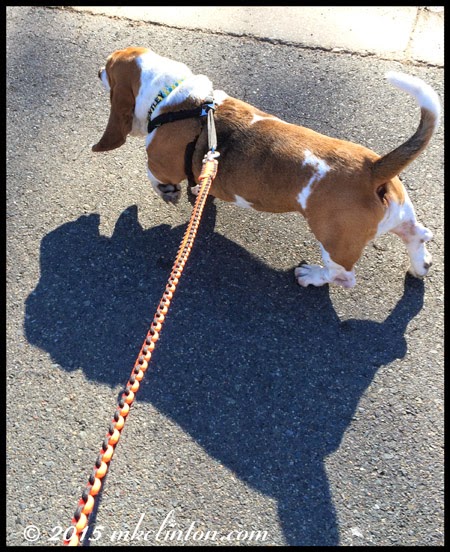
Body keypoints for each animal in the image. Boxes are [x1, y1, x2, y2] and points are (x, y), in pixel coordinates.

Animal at [93, 47, 440, 289]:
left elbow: (153, 175)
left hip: (334, 242)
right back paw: (420, 266)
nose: (97, 71)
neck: (177, 98)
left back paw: (311, 276)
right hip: (396, 216)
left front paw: (169, 193)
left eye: (108, 67)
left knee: (343, 277)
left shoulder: (160, 164)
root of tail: (374, 168)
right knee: (419, 234)